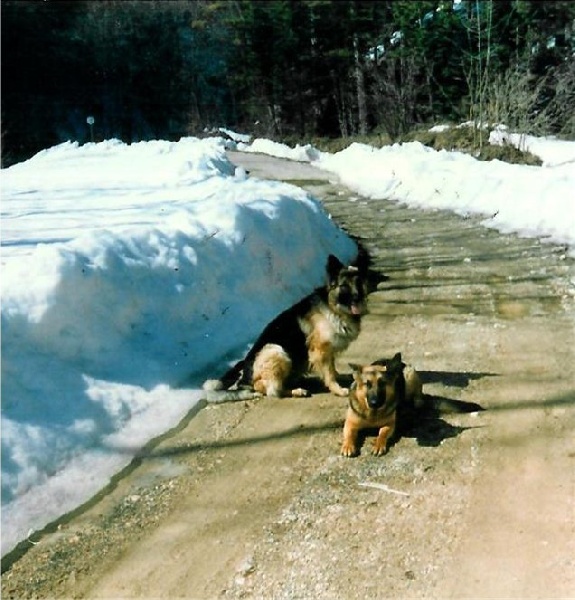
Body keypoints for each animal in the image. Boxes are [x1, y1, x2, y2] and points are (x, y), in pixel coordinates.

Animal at [206, 254, 368, 404]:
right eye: (344, 286)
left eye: (358, 283)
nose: (357, 298)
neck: (332, 306)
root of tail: (245, 380)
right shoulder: (320, 350)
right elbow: (329, 374)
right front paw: (337, 389)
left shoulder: (328, 349)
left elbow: (332, 368)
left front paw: (340, 376)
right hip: (276, 350)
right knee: (272, 390)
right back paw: (297, 391)